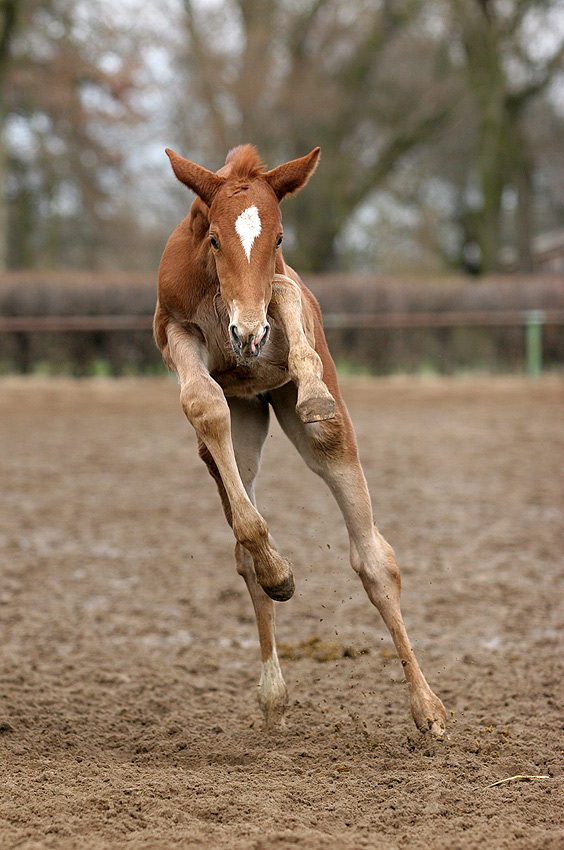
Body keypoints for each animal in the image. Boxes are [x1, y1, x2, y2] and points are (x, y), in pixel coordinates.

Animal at [154, 144, 446, 736]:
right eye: (213, 239)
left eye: (280, 238)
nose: (247, 336)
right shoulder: (173, 329)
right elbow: (204, 407)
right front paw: (280, 572)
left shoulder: (284, 299)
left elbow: (286, 297)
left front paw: (312, 390)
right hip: (247, 424)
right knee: (245, 547)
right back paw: (273, 689)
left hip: (323, 441)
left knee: (374, 561)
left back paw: (427, 709)